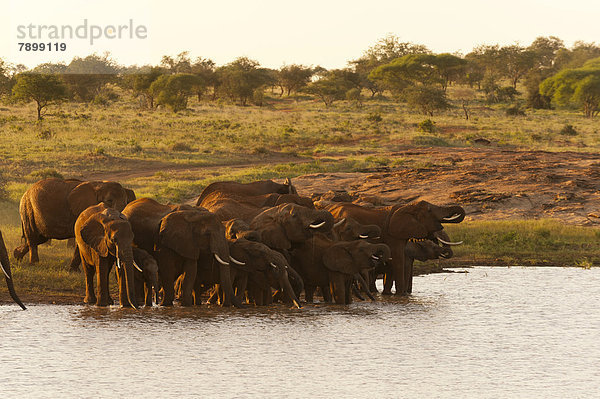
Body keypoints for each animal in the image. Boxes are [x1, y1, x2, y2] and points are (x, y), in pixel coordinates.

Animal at [326, 202, 466, 296]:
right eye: (430, 210)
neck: (407, 207)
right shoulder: (393, 235)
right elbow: (399, 260)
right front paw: (401, 295)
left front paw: (401, 295)